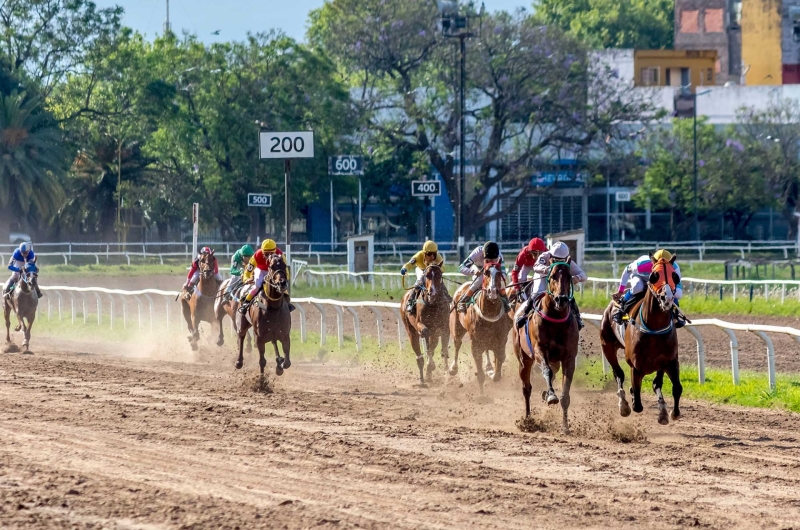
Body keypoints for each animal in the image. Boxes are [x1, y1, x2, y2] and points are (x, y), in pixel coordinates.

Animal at [450, 260, 512, 392]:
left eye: (499, 273)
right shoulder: (476, 343)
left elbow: (500, 361)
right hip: (456, 328)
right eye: (486, 273)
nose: (492, 291)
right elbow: (480, 374)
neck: (490, 312)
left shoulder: (501, 340)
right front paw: (482, 394)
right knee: (457, 344)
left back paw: (489, 367)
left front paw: (492, 372)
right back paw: (453, 368)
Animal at [516, 258, 580, 432]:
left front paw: (565, 426)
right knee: (526, 388)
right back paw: (528, 419)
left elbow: (565, 394)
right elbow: (547, 371)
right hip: (524, 359)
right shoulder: (539, 350)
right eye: (552, 277)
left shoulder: (569, 358)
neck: (556, 320)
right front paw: (551, 395)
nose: (561, 299)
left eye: (569, 277)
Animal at [600, 254, 680, 422]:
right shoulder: (636, 366)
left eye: (675, 276)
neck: (654, 328)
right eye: (654, 275)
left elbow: (674, 387)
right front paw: (629, 401)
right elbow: (637, 402)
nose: (667, 298)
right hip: (607, 345)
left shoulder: (670, 362)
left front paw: (670, 412)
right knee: (619, 374)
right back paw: (623, 405)